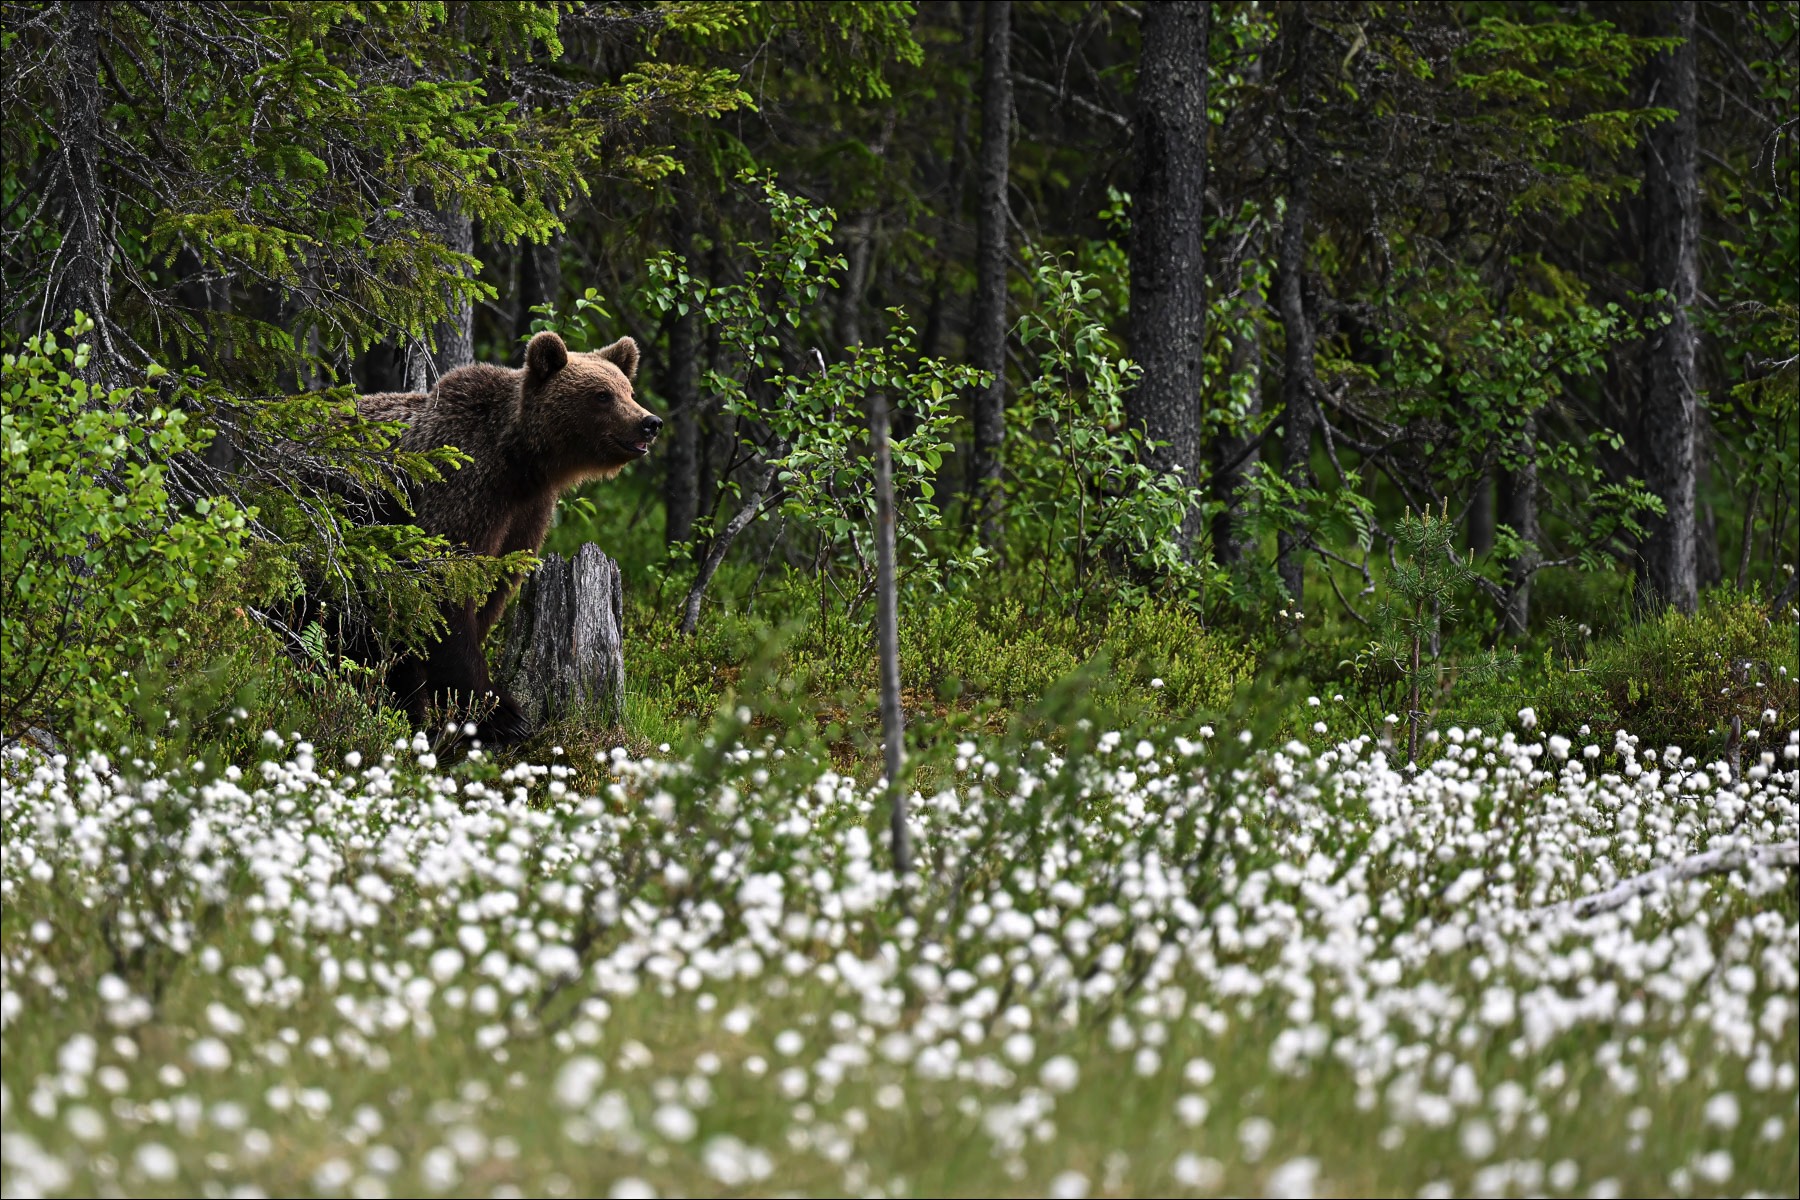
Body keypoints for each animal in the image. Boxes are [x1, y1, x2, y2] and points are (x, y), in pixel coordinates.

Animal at [354, 329, 658, 741]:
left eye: (628, 389)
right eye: (601, 395)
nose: (650, 422)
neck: (520, 460)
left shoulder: (526, 513)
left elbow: (495, 585)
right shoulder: (463, 485)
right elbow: (442, 586)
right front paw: (504, 713)